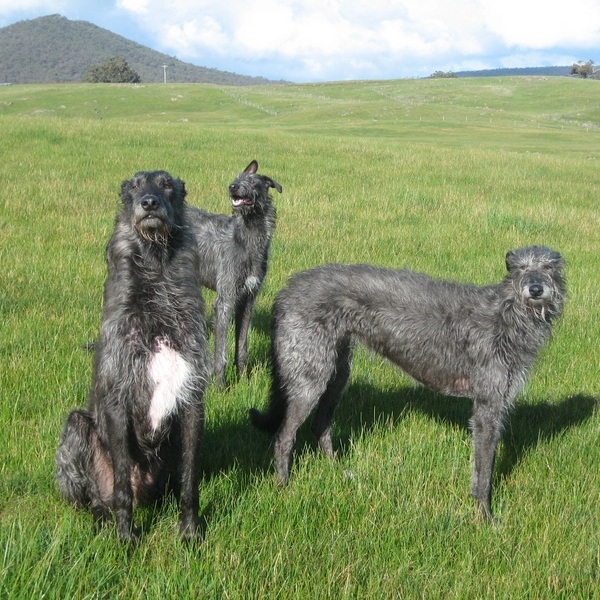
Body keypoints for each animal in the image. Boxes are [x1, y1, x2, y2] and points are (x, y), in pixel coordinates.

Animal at [188, 159, 282, 386]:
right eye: (237, 178)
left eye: (253, 181)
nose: (232, 187)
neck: (245, 240)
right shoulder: (225, 300)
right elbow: (220, 353)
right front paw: (220, 387)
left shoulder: (248, 299)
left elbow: (242, 346)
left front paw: (243, 380)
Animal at [251, 246, 564, 516]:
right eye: (521, 268)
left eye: (550, 267)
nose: (536, 289)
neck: (508, 314)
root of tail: (286, 290)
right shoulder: (488, 405)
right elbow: (484, 471)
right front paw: (485, 516)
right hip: (310, 375)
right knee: (283, 436)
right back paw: (284, 485)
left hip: (336, 372)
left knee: (320, 425)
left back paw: (338, 470)